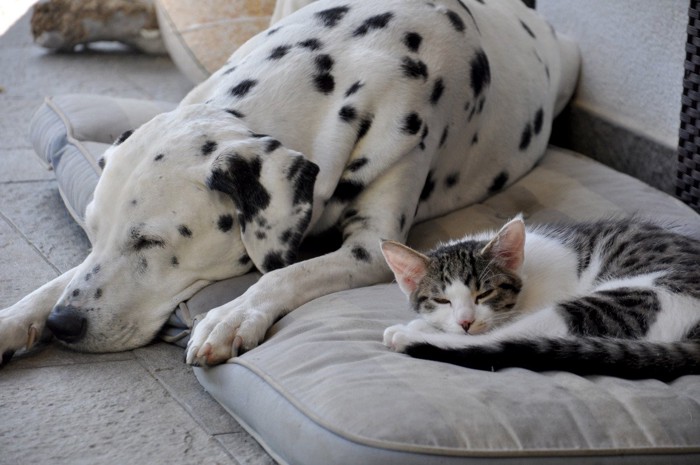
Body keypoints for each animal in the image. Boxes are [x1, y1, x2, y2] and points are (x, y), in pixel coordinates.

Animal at [1, 0, 580, 366]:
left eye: (150, 242)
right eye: (92, 232)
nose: (64, 324)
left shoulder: (372, 250)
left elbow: (282, 275)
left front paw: (232, 316)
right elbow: (60, 279)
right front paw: (17, 317)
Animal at [380, 216, 700, 378]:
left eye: (485, 293)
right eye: (442, 300)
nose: (465, 322)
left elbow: (498, 329)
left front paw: (421, 329)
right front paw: (429, 323)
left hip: (634, 298)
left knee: (509, 338)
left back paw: (409, 337)